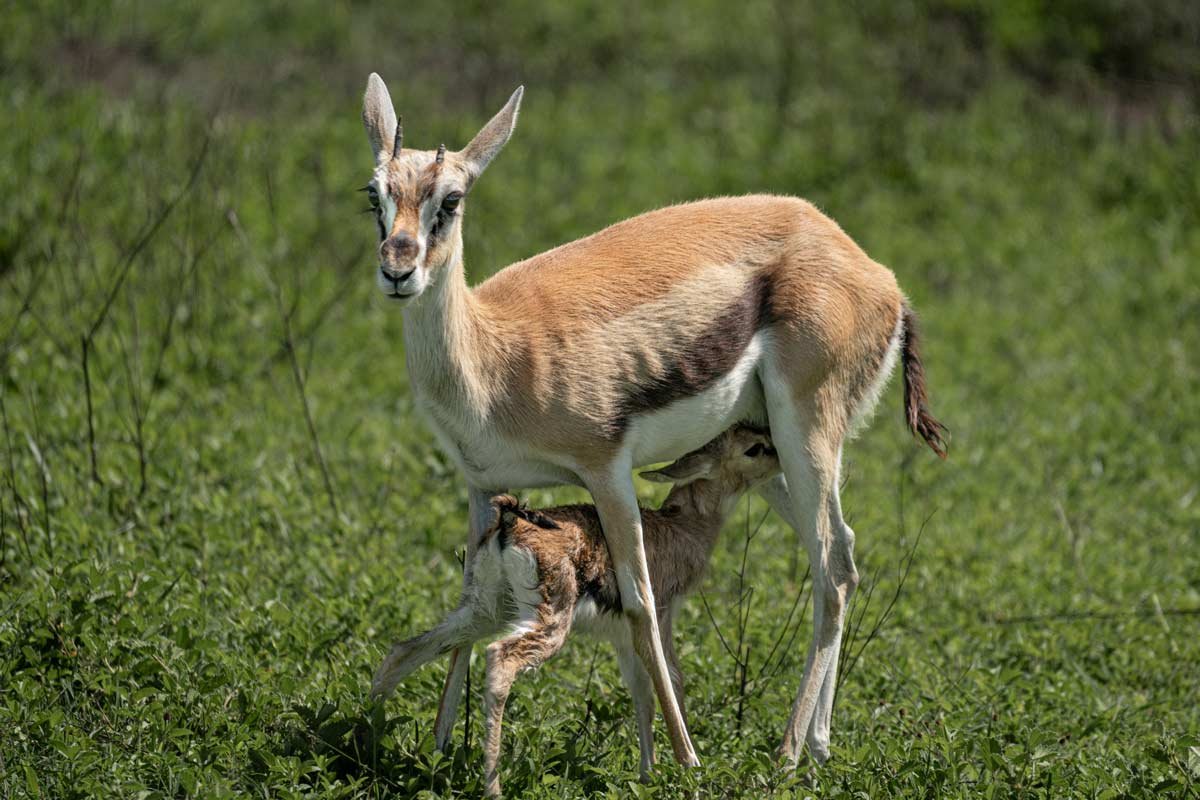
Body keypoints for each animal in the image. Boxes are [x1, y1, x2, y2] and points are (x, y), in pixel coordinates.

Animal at [372, 425, 783, 796]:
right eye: (753, 448)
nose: (781, 453)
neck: (682, 527)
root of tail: (511, 520)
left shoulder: (623, 638)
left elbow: (642, 693)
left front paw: (646, 776)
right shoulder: (660, 619)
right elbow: (672, 681)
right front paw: (683, 773)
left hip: (485, 610)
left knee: (403, 651)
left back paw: (371, 741)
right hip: (548, 622)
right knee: (498, 658)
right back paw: (492, 787)